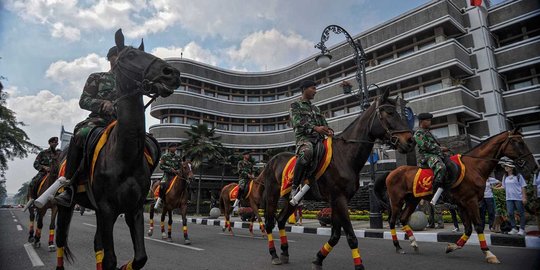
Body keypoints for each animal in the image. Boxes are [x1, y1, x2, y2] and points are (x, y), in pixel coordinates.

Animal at [53, 29, 182, 270]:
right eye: (130, 55)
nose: (172, 73)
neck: (124, 155)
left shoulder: (134, 210)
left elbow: (139, 257)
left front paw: (127, 265)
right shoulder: (106, 209)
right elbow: (110, 259)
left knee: (96, 243)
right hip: (67, 203)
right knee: (60, 239)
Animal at [258, 89, 414, 268]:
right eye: (389, 113)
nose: (410, 141)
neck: (344, 156)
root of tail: (270, 162)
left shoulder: (338, 200)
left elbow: (335, 235)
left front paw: (318, 259)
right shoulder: (339, 199)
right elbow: (351, 237)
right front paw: (359, 265)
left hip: (294, 200)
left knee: (281, 220)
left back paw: (284, 252)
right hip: (272, 194)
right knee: (270, 223)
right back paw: (274, 254)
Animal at [376, 129, 536, 264]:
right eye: (519, 143)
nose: (534, 166)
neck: (474, 167)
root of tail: (391, 172)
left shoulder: (462, 204)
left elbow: (468, 229)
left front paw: (452, 247)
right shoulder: (470, 201)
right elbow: (478, 226)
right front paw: (489, 253)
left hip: (412, 200)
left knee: (403, 218)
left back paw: (414, 242)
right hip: (396, 201)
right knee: (392, 221)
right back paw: (398, 246)